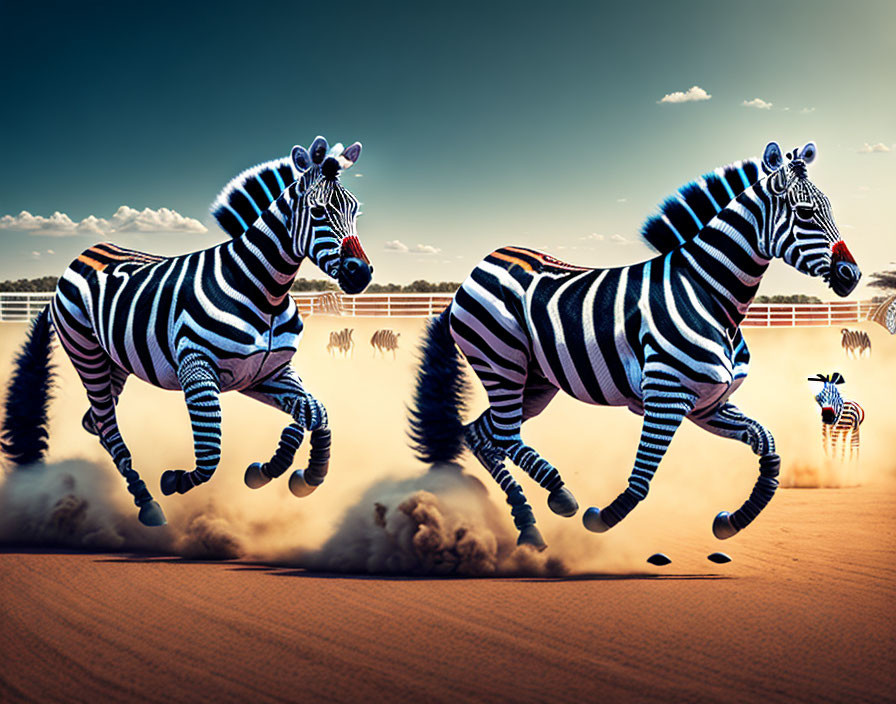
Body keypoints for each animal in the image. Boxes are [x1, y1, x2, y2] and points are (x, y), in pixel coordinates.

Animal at [0, 136, 372, 528]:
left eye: (355, 212)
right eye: (318, 212)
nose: (361, 273)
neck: (262, 289)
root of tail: (82, 256)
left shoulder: (265, 373)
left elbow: (315, 413)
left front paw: (295, 474)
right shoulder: (198, 371)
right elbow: (210, 453)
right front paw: (176, 480)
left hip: (113, 361)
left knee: (96, 422)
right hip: (86, 353)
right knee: (108, 427)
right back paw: (147, 503)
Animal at [408, 140, 860, 548]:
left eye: (831, 210)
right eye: (805, 213)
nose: (851, 275)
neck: (708, 294)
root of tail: (477, 269)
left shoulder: (709, 405)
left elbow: (769, 448)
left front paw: (732, 521)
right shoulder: (666, 396)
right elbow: (643, 477)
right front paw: (601, 517)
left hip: (533, 382)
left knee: (480, 434)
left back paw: (528, 525)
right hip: (501, 361)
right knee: (502, 436)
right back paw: (559, 494)